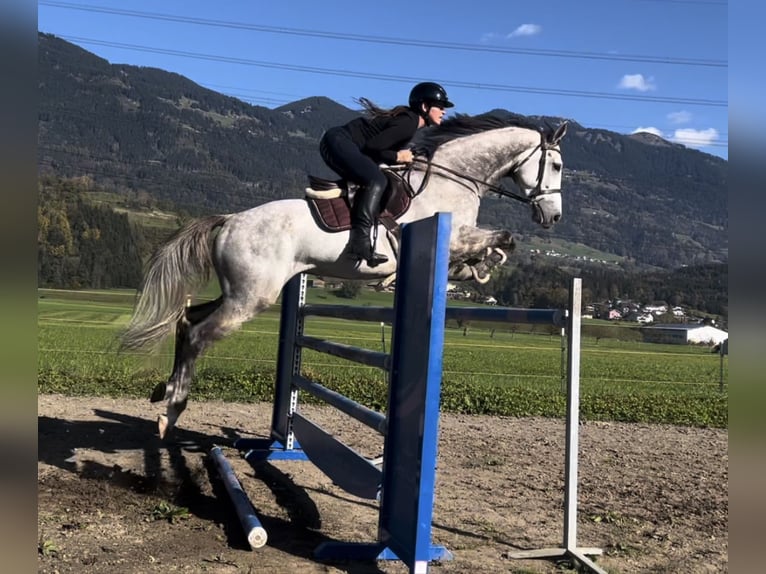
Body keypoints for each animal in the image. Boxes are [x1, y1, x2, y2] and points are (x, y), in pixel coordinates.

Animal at [123, 113, 568, 436]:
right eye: (557, 164)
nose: (553, 218)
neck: (453, 178)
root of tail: (231, 219)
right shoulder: (454, 234)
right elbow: (504, 238)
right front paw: (481, 265)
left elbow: (493, 248)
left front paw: (476, 270)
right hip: (251, 297)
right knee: (199, 334)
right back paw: (172, 409)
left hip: (238, 291)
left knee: (187, 321)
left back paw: (164, 392)